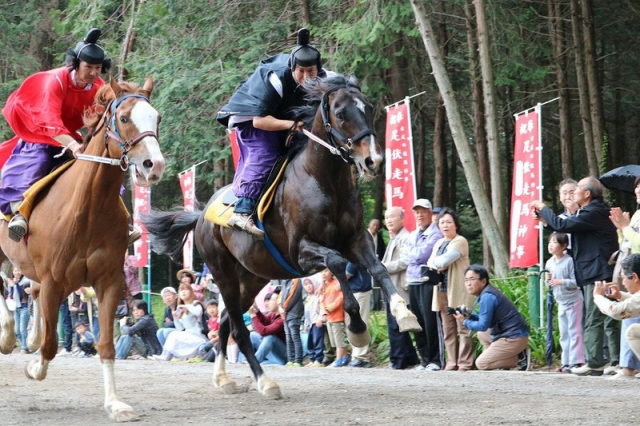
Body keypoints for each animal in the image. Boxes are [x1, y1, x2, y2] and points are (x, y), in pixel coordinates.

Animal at [0, 76, 165, 421]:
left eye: (157, 118)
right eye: (124, 118)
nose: (153, 165)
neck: (86, 208)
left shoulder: (108, 281)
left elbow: (106, 345)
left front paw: (115, 403)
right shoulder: (54, 279)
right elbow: (51, 345)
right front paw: (33, 367)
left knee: (30, 291)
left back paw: (27, 335)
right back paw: (8, 335)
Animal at [144, 74, 420, 399]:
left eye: (369, 107)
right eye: (341, 114)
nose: (373, 160)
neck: (325, 181)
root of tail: (201, 217)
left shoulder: (355, 238)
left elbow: (377, 267)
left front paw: (403, 313)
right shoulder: (301, 251)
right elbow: (337, 263)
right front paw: (357, 327)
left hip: (252, 279)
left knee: (224, 323)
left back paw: (224, 378)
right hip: (223, 274)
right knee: (238, 329)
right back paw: (265, 382)